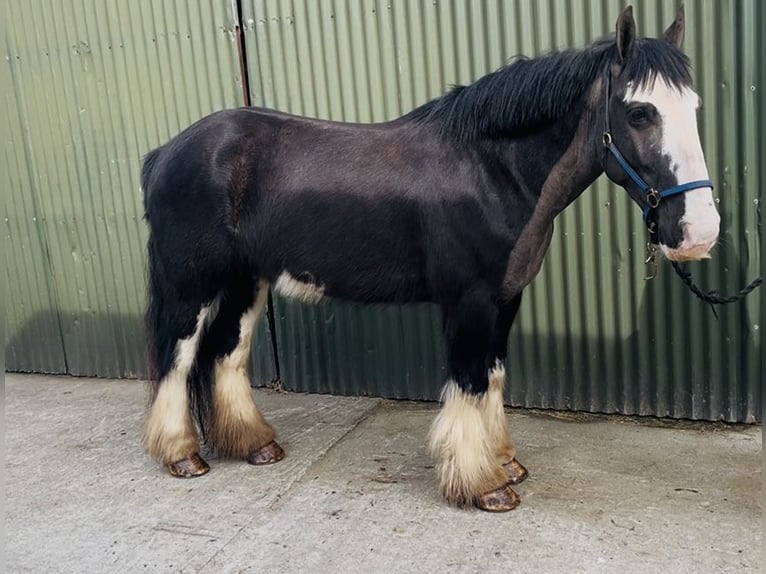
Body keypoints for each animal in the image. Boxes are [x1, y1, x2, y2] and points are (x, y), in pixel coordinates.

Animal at [141, 6, 720, 512]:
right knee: (177, 356)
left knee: (224, 354)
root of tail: (166, 152)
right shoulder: (470, 301)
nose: (699, 230)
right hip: (191, 285)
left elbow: (493, 377)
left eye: (694, 108)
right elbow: (468, 382)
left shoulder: (506, 297)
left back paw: (255, 445)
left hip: (245, 281)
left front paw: (504, 463)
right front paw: (483, 484)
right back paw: (182, 456)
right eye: (639, 112)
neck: (493, 168)